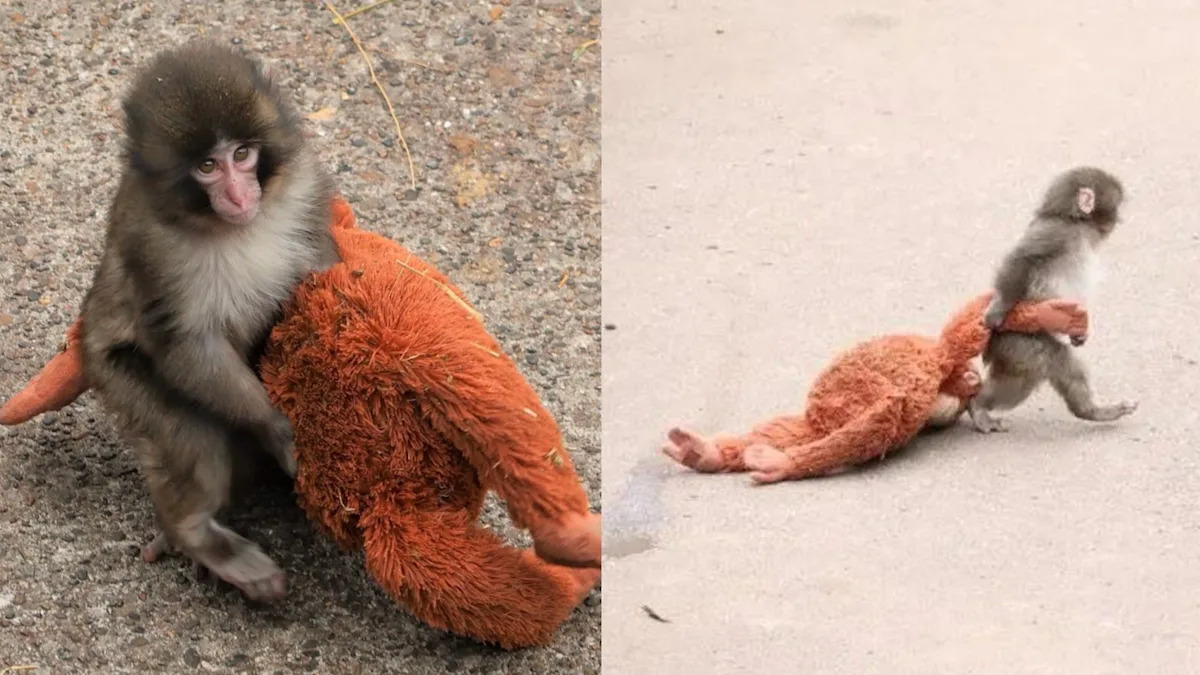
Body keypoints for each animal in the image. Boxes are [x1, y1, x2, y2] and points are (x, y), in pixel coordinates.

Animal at [78, 41, 339, 601]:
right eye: (206, 166)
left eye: (242, 155)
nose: (240, 196)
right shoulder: (151, 245)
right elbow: (185, 345)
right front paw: (277, 428)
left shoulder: (304, 188)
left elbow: (322, 271)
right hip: (115, 375)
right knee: (194, 439)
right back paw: (195, 534)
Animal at [968, 166, 1138, 433]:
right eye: (1117, 205)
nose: (1118, 220)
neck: (1075, 223)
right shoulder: (1056, 233)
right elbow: (1022, 259)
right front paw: (998, 308)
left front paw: (1079, 334)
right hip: (1018, 341)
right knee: (1046, 363)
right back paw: (978, 407)